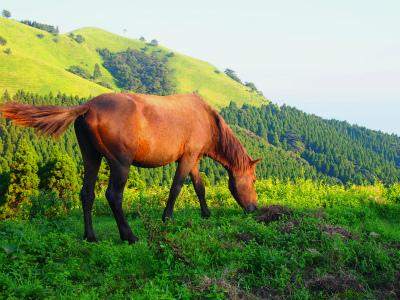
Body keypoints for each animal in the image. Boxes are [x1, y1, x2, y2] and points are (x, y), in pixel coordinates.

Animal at [0, 92, 260, 243]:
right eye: (254, 180)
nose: (254, 208)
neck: (207, 120)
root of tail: (88, 107)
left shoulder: (192, 159)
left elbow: (199, 187)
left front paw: (206, 213)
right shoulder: (187, 158)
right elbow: (176, 188)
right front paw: (167, 218)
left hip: (91, 157)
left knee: (87, 194)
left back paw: (90, 236)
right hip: (120, 164)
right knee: (113, 196)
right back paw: (129, 236)